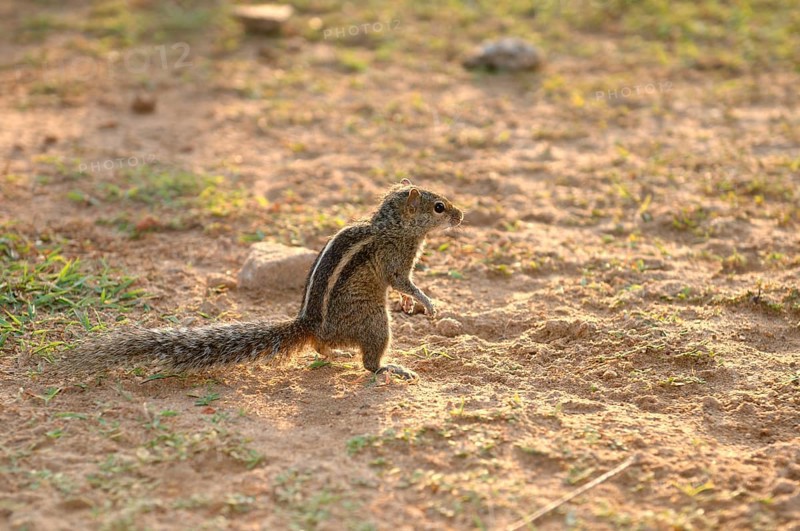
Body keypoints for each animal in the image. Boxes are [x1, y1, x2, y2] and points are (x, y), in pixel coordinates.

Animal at [63, 179, 463, 380]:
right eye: (439, 207)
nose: (462, 215)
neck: (391, 226)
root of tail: (308, 324)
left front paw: (414, 303)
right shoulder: (397, 260)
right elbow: (401, 281)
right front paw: (427, 303)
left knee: (321, 347)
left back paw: (334, 353)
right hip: (376, 322)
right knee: (368, 362)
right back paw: (389, 368)